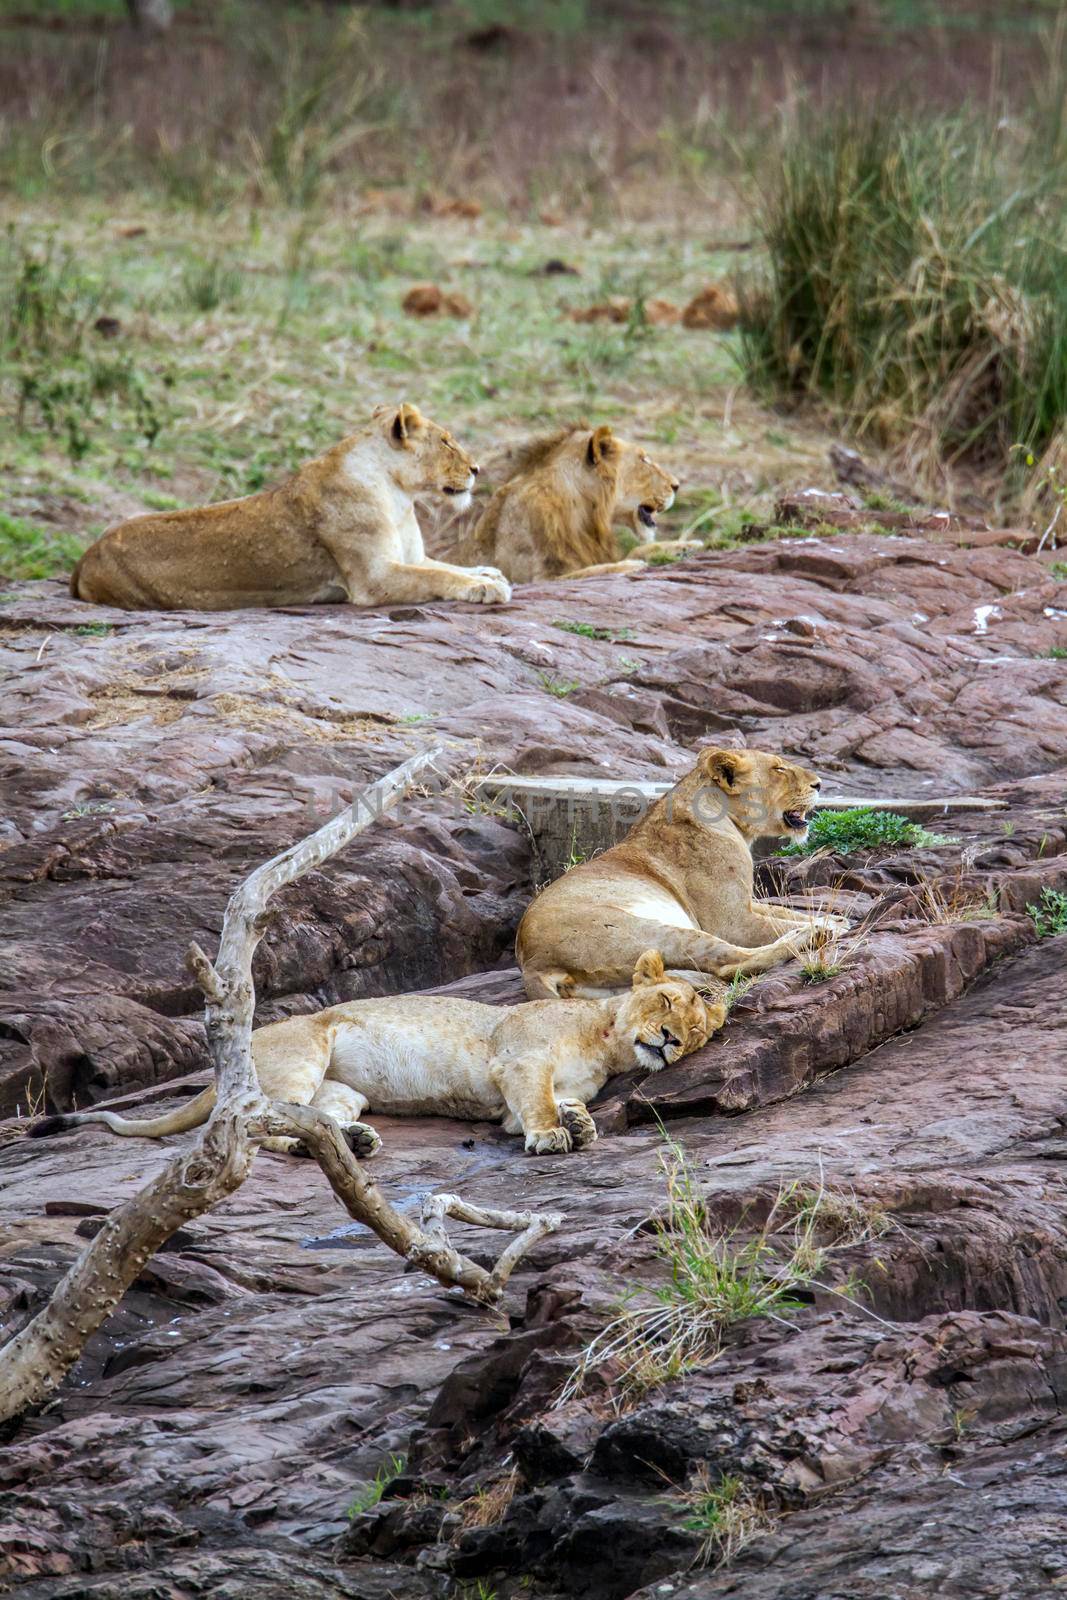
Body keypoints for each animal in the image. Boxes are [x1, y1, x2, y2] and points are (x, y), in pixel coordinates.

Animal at [29, 953, 723, 1158]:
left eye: (698, 1031)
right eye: (667, 1001)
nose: (670, 1042)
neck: (607, 1043)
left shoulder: (521, 1099)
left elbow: (553, 1105)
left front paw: (579, 1123)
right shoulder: (519, 1060)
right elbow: (538, 1103)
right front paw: (556, 1136)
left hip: (342, 1090)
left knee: (313, 1119)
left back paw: (354, 1142)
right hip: (302, 1053)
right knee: (255, 1126)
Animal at [70, 406, 511, 611]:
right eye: (447, 442)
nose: (476, 469)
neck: (401, 496)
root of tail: (85, 556)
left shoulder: (409, 557)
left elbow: (444, 566)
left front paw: (487, 573)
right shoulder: (373, 580)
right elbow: (438, 577)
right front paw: (487, 587)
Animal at [454, 422, 697, 585]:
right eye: (644, 460)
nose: (676, 485)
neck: (584, 514)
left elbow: (636, 549)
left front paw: (685, 546)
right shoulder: (539, 578)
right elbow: (593, 570)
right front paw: (630, 566)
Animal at [518, 742, 851, 992]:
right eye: (779, 768)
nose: (819, 784)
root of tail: (533, 965)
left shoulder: (745, 903)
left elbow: (783, 911)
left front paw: (836, 918)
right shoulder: (732, 921)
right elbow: (774, 923)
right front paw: (829, 924)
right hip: (651, 931)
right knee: (730, 963)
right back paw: (814, 936)